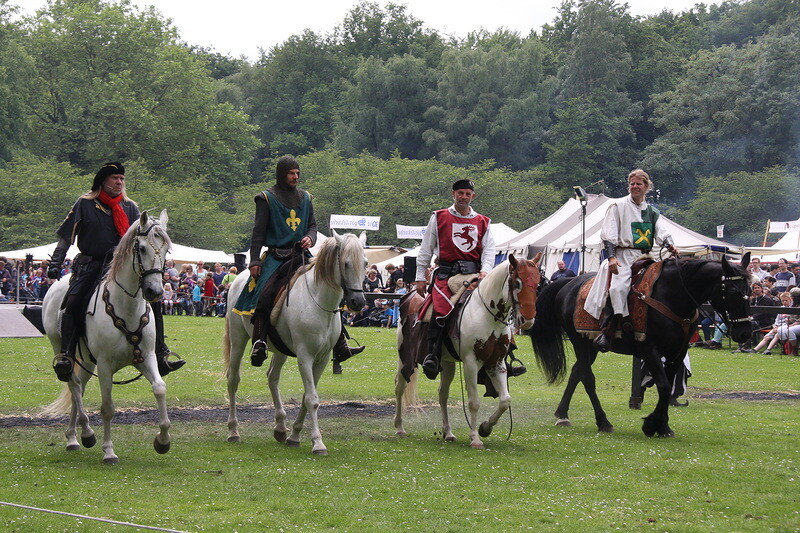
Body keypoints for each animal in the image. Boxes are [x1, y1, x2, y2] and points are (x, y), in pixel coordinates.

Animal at [41, 210, 173, 464]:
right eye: (142, 248)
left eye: (166, 250)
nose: (155, 292)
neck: (127, 309)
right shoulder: (104, 366)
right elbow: (108, 408)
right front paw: (109, 451)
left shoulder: (147, 358)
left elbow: (160, 388)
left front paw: (162, 441)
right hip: (62, 350)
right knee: (73, 384)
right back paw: (85, 433)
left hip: (86, 359)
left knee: (79, 387)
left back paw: (73, 437)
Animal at [222, 231, 366, 456]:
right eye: (346, 263)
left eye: (366, 263)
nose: (358, 302)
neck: (318, 302)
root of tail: (239, 279)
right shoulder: (305, 356)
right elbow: (312, 399)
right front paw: (318, 443)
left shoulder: (322, 358)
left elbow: (308, 397)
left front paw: (295, 435)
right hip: (238, 339)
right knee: (233, 380)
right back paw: (233, 431)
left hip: (280, 349)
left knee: (272, 377)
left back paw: (281, 427)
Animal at [396, 251, 544, 446]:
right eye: (517, 283)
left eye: (538, 283)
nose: (528, 321)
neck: (487, 314)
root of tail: (410, 296)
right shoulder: (471, 363)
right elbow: (474, 402)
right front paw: (475, 438)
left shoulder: (496, 363)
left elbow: (505, 400)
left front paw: (485, 428)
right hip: (405, 357)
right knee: (400, 386)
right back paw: (399, 428)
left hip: (447, 362)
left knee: (442, 394)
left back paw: (448, 432)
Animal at [532, 254, 752, 436]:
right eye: (734, 292)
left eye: (749, 290)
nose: (745, 333)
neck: (672, 296)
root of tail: (569, 283)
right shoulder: (650, 351)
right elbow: (663, 386)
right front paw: (652, 424)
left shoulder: (676, 353)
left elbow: (667, 387)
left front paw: (662, 426)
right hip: (580, 341)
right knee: (587, 378)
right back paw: (603, 422)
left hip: (590, 346)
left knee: (577, 372)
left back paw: (562, 414)